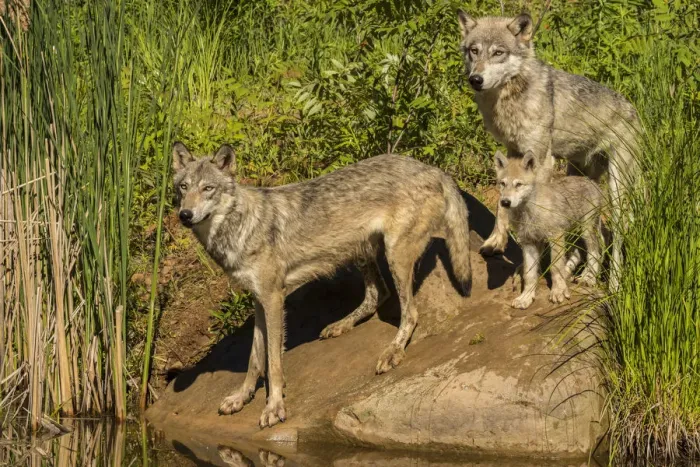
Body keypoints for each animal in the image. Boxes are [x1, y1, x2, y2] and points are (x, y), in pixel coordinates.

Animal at [171, 142, 472, 428]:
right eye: (183, 187)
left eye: (208, 188)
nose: (185, 214)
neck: (241, 228)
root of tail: (434, 169)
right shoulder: (258, 301)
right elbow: (255, 358)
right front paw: (241, 397)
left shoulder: (273, 298)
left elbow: (274, 362)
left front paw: (274, 407)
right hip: (362, 252)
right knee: (378, 294)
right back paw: (341, 325)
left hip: (394, 255)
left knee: (410, 314)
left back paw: (393, 351)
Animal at [457, 11, 639, 288]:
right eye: (474, 51)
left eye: (498, 52)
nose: (476, 79)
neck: (511, 98)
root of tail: (634, 111)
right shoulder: (513, 152)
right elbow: (501, 205)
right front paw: (495, 242)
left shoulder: (542, 158)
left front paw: (528, 269)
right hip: (579, 179)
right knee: (591, 237)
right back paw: (578, 271)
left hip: (617, 187)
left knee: (615, 237)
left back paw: (612, 284)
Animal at [494, 150, 602, 309]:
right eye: (502, 183)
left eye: (518, 184)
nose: (505, 202)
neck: (528, 212)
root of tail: (591, 181)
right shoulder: (530, 243)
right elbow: (529, 275)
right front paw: (526, 297)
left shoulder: (555, 237)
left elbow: (554, 268)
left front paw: (558, 292)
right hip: (574, 233)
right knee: (578, 252)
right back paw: (570, 272)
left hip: (586, 231)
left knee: (595, 253)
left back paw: (588, 278)